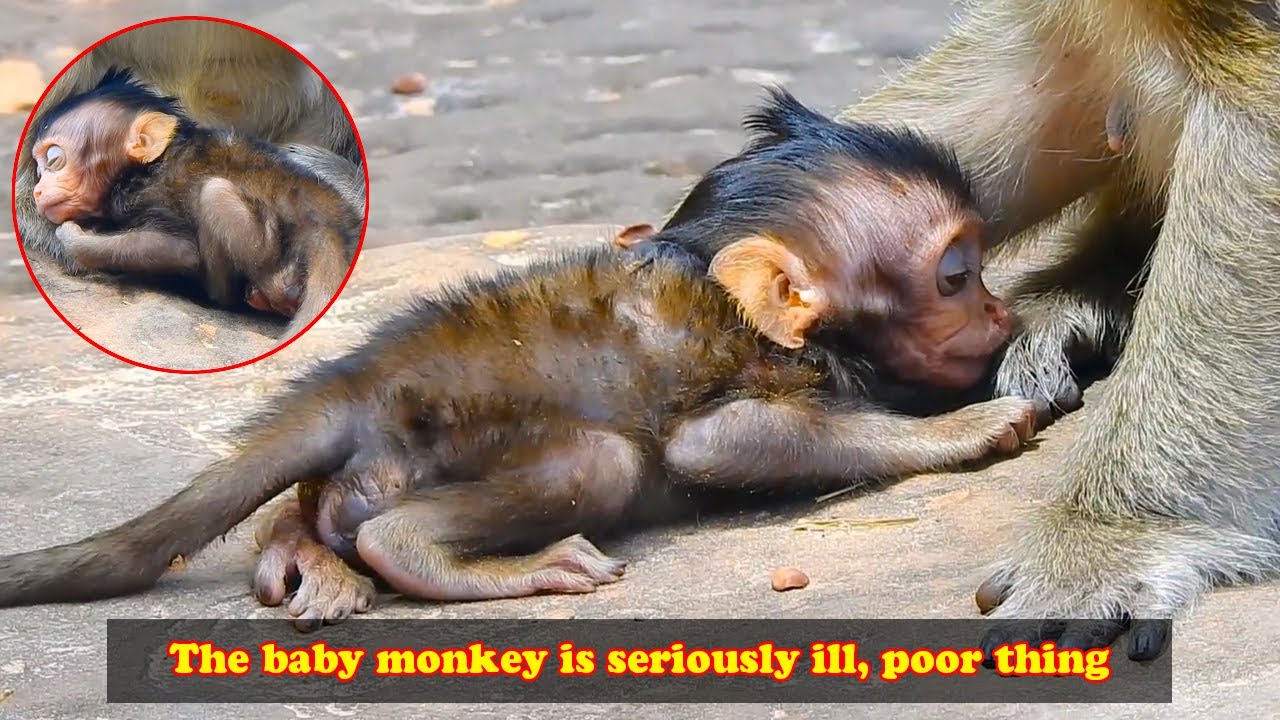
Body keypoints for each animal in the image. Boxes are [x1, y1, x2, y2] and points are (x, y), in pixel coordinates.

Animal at [0, 100, 1041, 629]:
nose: (997, 309)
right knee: (595, 463)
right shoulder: (757, 375)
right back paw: (434, 558)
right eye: (955, 277)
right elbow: (718, 445)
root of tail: (354, 380)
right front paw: (965, 428)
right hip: (436, 440)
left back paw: (301, 553)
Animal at [30, 68, 362, 336]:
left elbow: (180, 249)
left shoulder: (150, 195)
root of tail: (324, 219)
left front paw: (73, 238)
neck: (146, 168)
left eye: (54, 159)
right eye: (37, 169)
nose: (37, 191)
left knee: (214, 194)